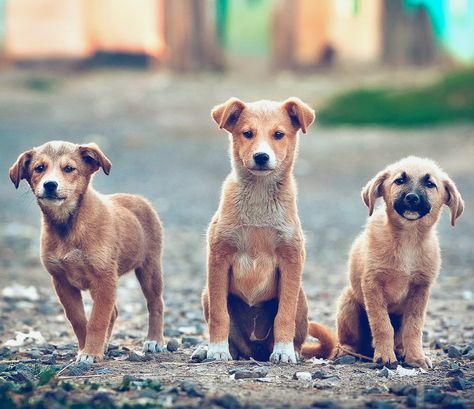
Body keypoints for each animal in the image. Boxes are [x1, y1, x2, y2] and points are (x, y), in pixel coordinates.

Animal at [8, 142, 167, 362]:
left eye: (69, 168)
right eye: (39, 168)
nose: (50, 185)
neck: (68, 226)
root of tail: (138, 198)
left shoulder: (104, 278)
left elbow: (97, 320)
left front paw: (90, 353)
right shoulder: (62, 282)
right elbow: (79, 320)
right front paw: (87, 349)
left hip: (149, 268)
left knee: (155, 303)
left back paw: (154, 340)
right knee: (114, 312)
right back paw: (106, 345)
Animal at [198, 97, 336, 362]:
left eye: (279, 134)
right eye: (247, 133)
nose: (261, 157)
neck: (259, 198)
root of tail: (255, 351)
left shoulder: (291, 259)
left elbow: (284, 315)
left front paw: (283, 351)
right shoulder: (218, 257)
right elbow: (220, 316)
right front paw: (217, 350)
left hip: (301, 298)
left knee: (296, 334)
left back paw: (291, 350)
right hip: (206, 294)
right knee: (233, 341)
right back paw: (209, 350)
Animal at [336, 155, 462, 366]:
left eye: (430, 184)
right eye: (400, 180)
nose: (412, 198)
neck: (408, 240)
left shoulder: (420, 289)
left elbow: (414, 327)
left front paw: (416, 357)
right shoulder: (372, 284)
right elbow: (382, 324)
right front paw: (385, 356)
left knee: (401, 337)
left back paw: (401, 351)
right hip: (348, 302)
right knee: (348, 340)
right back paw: (347, 351)